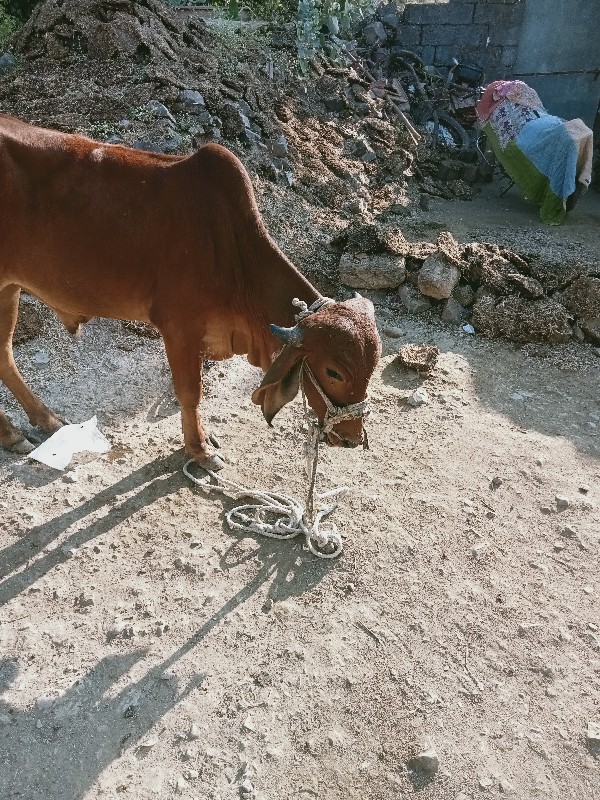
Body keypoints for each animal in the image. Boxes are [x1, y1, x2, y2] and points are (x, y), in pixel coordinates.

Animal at [0, 115, 382, 472]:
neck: (230, 247)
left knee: (5, 355)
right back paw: (15, 432)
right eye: (334, 372)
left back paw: (43, 422)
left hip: (9, 288)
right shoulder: (180, 326)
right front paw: (199, 450)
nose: (352, 437)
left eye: (372, 369)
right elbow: (190, 393)